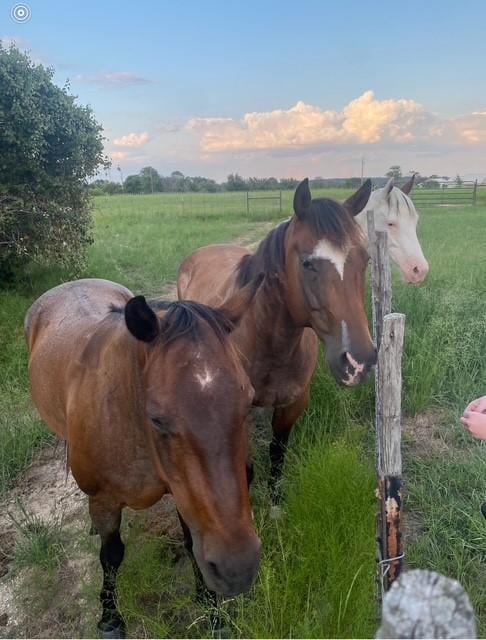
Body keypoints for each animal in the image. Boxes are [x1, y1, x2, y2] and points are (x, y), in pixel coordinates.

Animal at [24, 278, 262, 636]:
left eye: (247, 402)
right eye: (157, 418)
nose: (238, 568)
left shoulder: (184, 492)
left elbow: (191, 543)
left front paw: (211, 611)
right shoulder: (105, 501)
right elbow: (111, 555)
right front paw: (110, 618)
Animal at [178, 180, 376, 484]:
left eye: (365, 259)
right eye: (306, 263)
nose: (358, 362)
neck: (271, 346)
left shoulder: (292, 406)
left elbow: (277, 457)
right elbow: (246, 470)